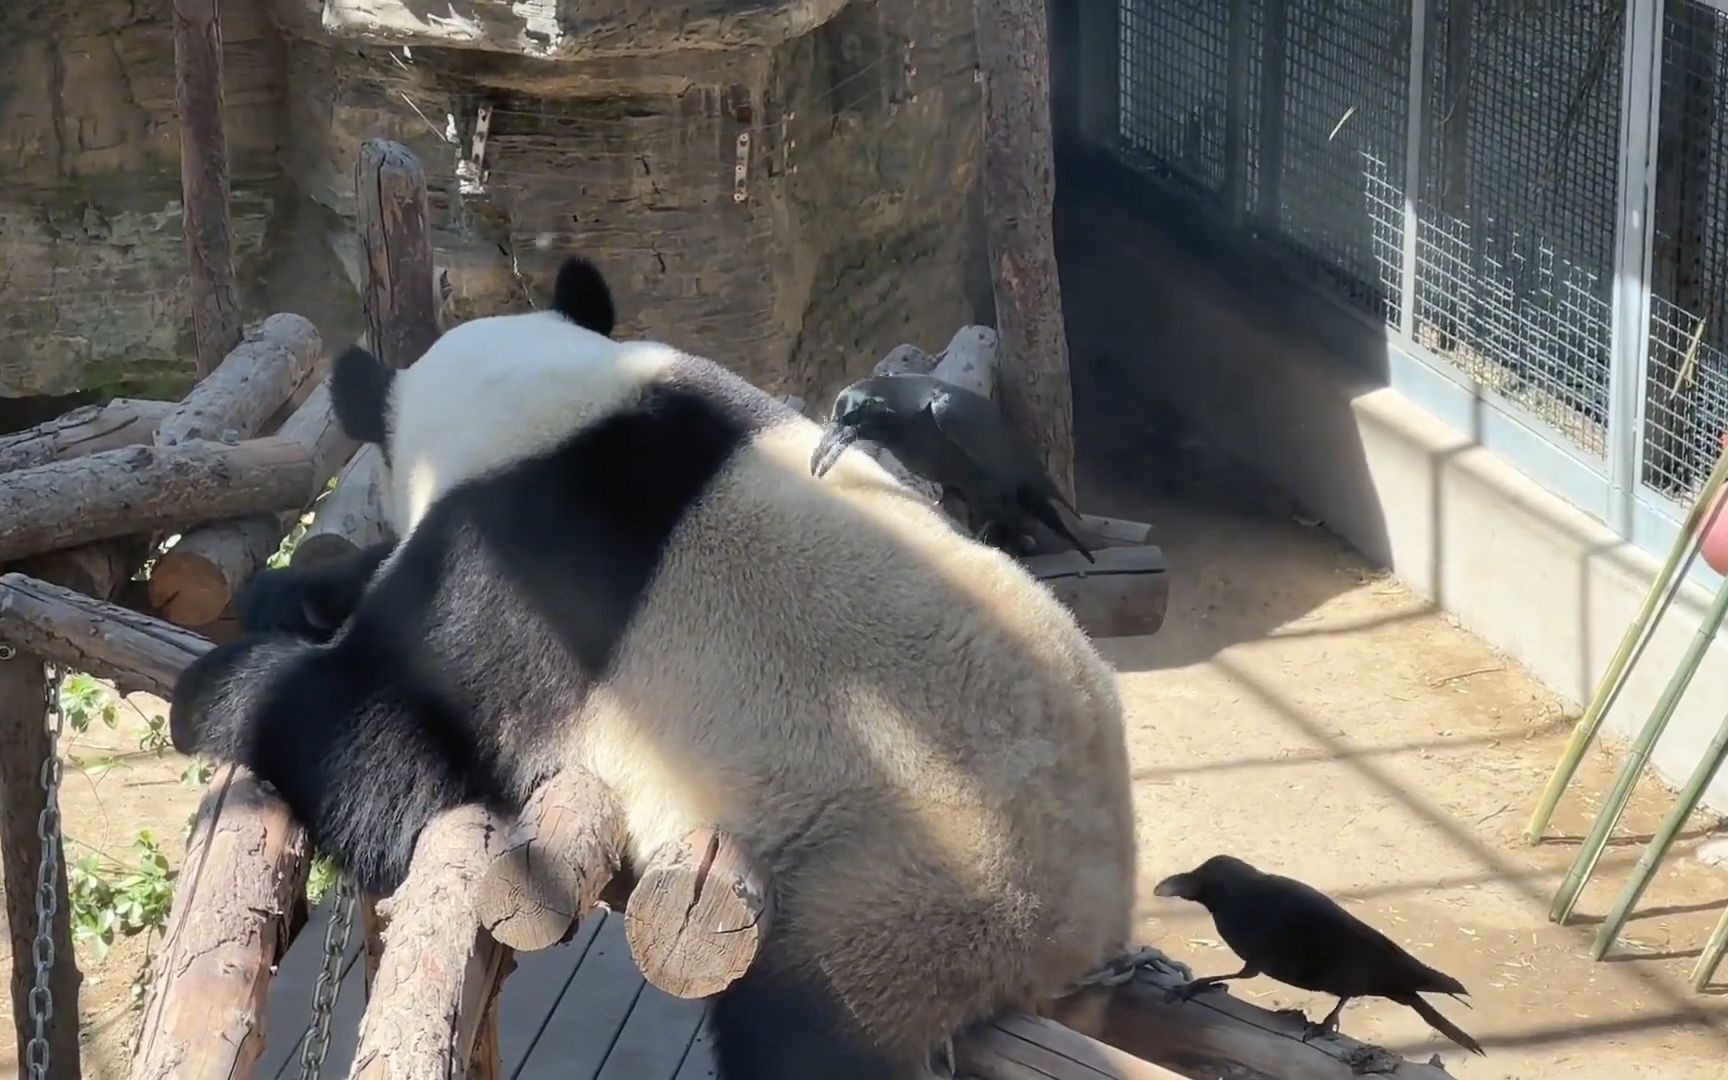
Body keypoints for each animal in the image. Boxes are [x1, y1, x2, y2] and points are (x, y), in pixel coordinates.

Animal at [175, 254, 1140, 1078]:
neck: (550, 412)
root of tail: (1092, 925)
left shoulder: (523, 573)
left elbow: (392, 758)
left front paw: (217, 692)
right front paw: (293, 593)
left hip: (925, 872)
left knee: (810, 1025)